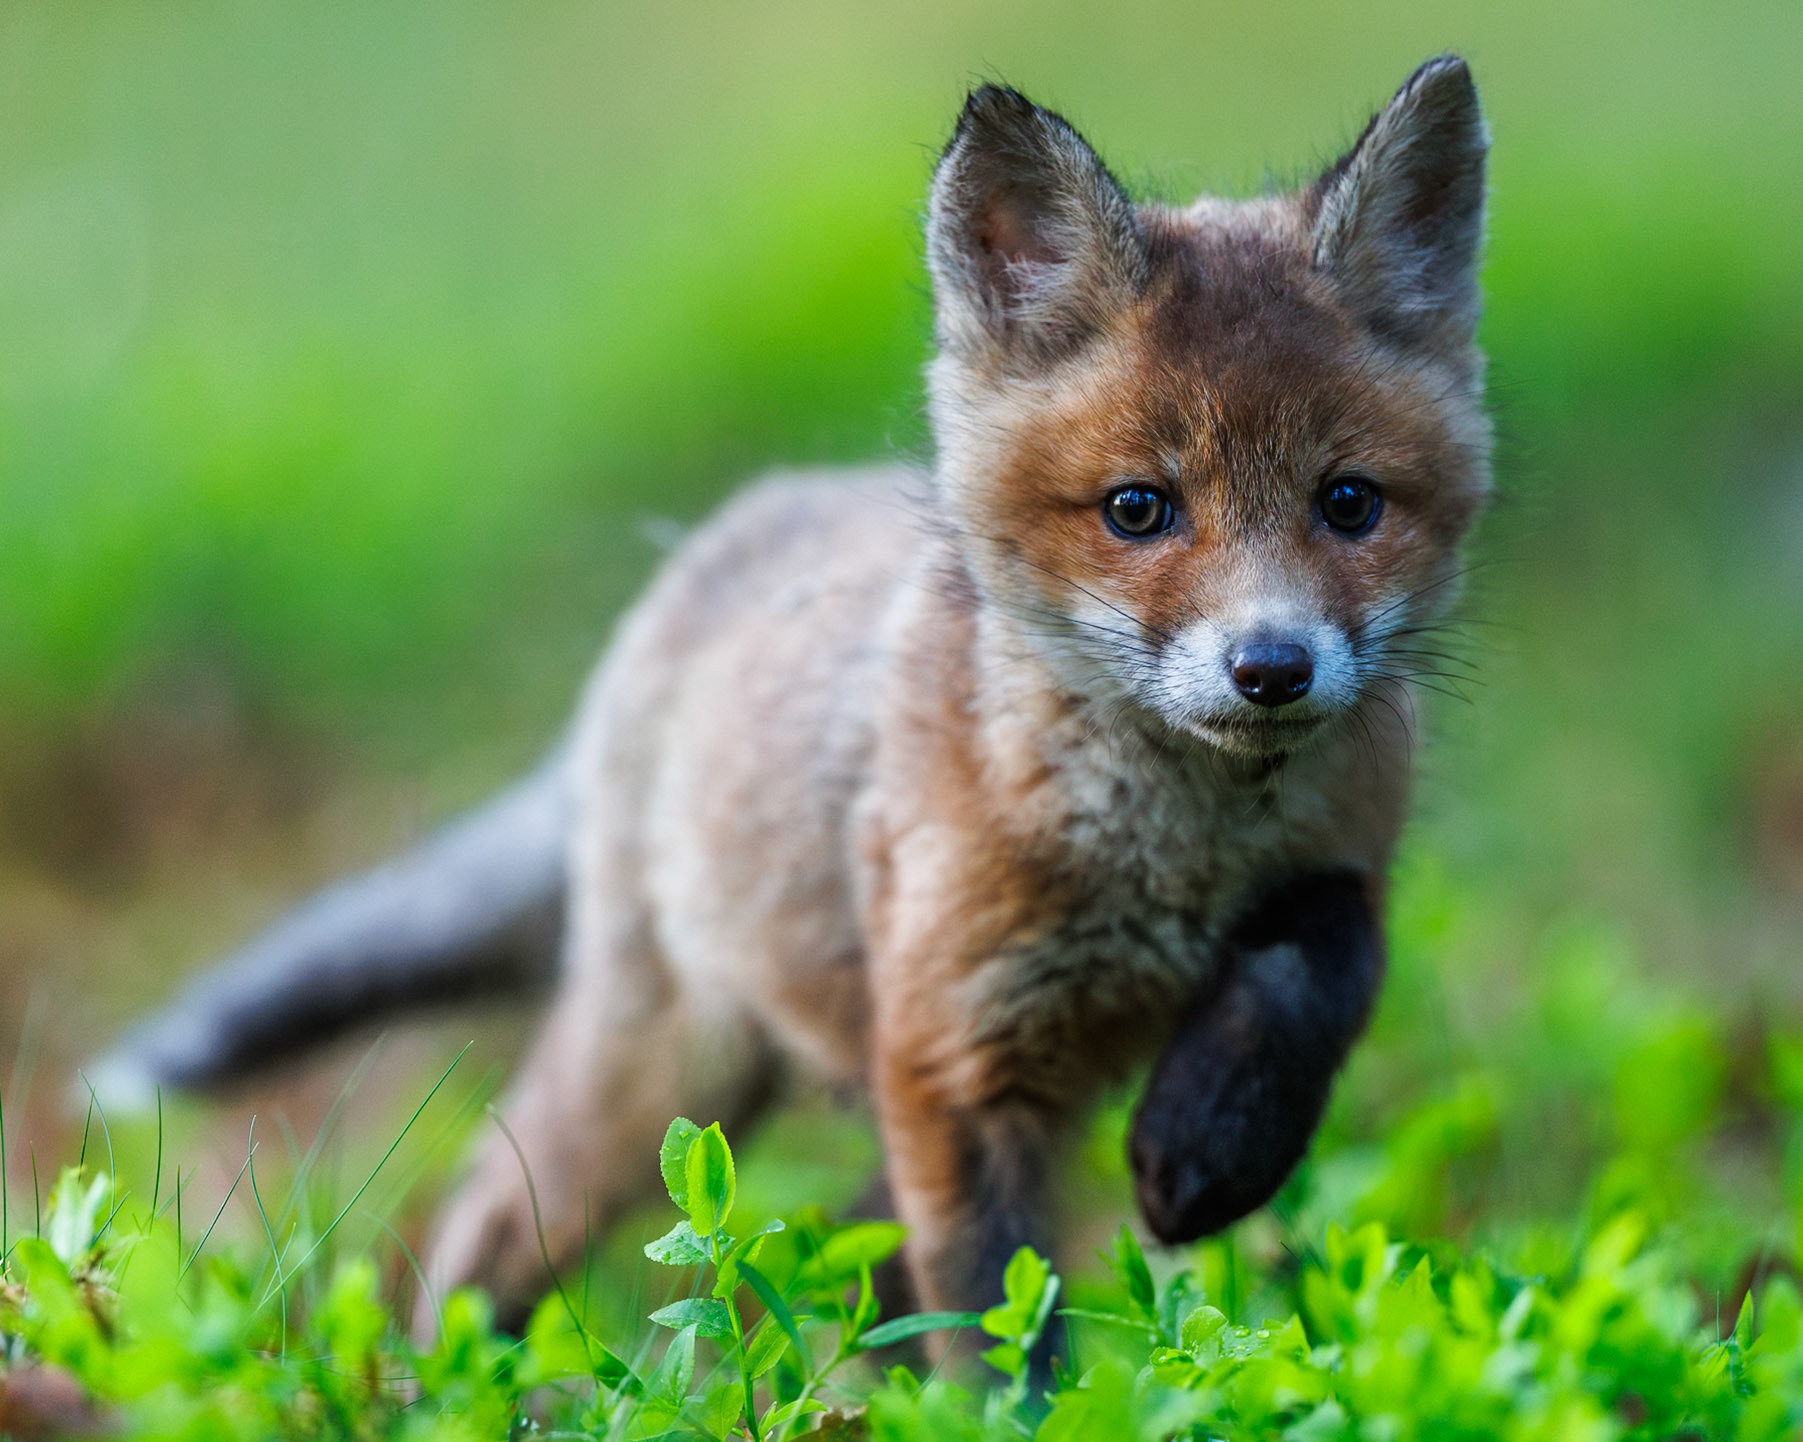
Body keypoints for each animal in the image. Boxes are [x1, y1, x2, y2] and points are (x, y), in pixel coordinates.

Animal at [100, 56, 1490, 1342]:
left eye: (1350, 503)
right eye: (1138, 509)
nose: (1272, 667)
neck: (1175, 865)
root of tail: (708, 551)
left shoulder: (1342, 862)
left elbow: (1330, 947)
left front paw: (1215, 1140)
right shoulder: (951, 1055)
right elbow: (993, 1321)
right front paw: (1016, 1412)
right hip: (666, 1070)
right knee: (489, 1214)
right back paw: (450, 1385)